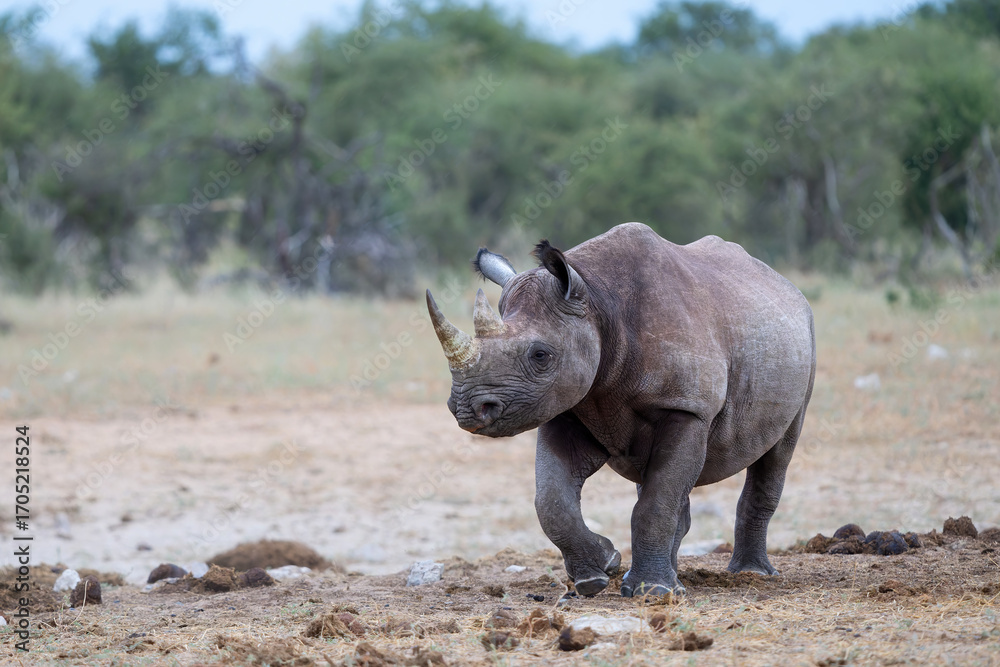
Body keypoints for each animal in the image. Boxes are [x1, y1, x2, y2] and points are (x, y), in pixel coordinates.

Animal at [426, 223, 815, 597]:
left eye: (540, 355)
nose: (467, 409)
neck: (598, 302)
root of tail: (786, 285)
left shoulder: (687, 408)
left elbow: (656, 504)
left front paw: (653, 592)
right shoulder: (568, 406)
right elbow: (551, 499)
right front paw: (599, 573)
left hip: (804, 340)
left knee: (777, 453)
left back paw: (748, 574)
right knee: (659, 482)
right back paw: (664, 577)